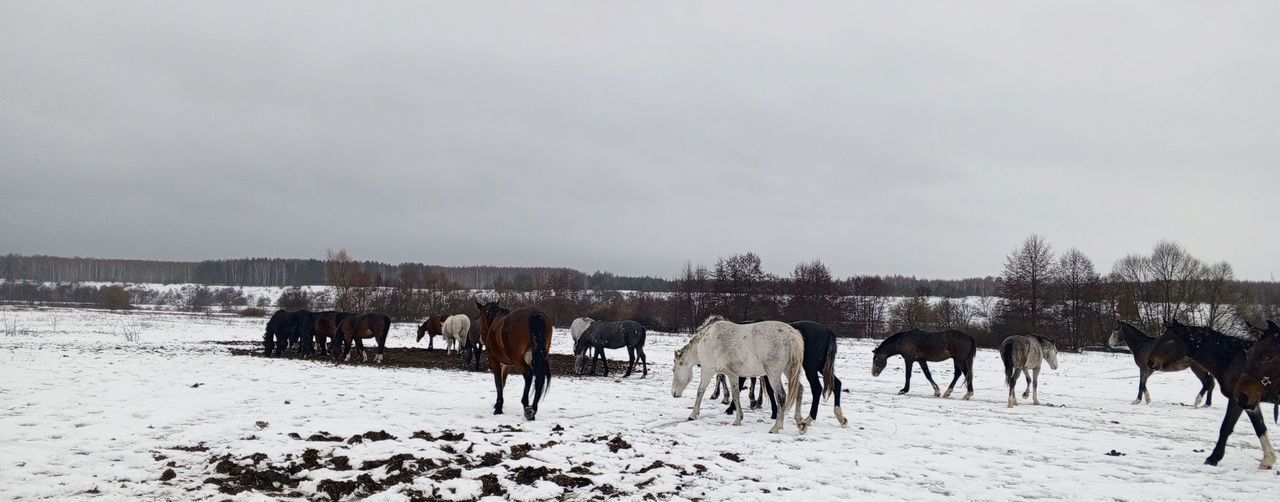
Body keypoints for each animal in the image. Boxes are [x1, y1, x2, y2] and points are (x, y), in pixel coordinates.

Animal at [675, 316, 803, 432]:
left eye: (674, 370)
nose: (674, 393)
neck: (706, 340)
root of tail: (792, 335)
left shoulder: (707, 370)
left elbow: (700, 391)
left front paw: (693, 414)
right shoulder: (732, 375)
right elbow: (736, 395)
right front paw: (738, 419)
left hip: (773, 373)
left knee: (781, 396)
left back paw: (776, 427)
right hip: (789, 370)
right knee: (799, 389)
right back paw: (800, 422)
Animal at [1146, 320, 1274, 468]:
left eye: (1169, 340)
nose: (1150, 362)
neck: (1232, 360)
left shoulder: (1237, 401)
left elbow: (1226, 427)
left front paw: (1213, 458)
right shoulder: (1250, 403)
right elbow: (1260, 428)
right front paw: (1268, 459)